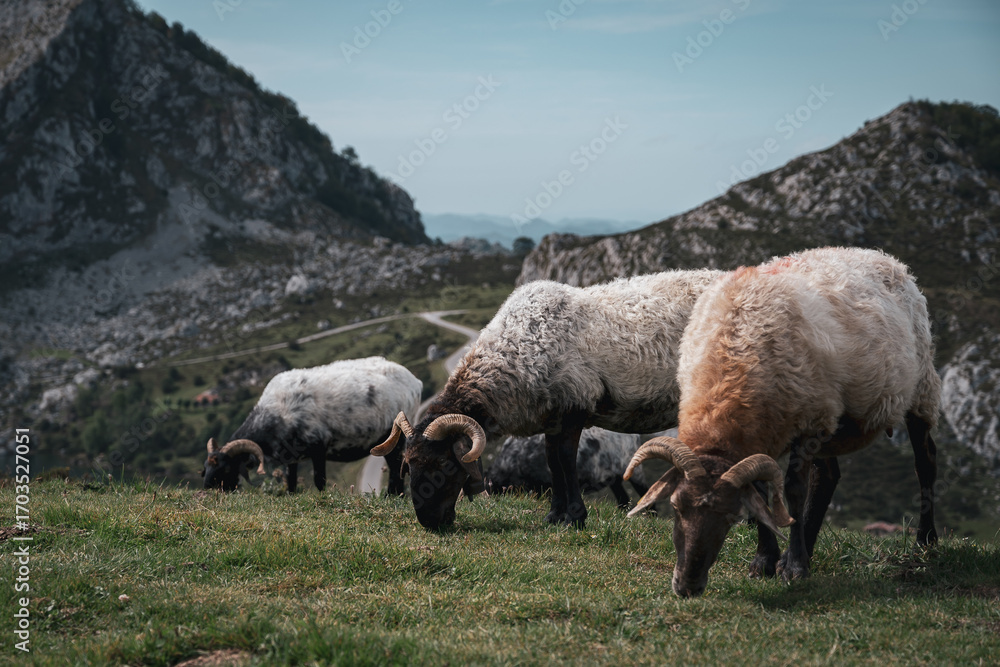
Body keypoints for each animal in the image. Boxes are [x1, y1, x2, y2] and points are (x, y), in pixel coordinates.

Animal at [202, 356, 421, 494]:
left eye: (227, 469)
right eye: (205, 468)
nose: (207, 491)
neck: (279, 412)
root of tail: (415, 381)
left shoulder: (319, 446)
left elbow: (319, 480)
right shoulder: (290, 457)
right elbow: (290, 482)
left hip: (396, 436)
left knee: (396, 466)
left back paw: (394, 495)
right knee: (394, 466)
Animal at [623, 247, 941, 597]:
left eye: (731, 516)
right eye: (677, 506)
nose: (688, 586)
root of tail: (884, 257)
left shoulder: (808, 423)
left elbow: (792, 491)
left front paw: (795, 568)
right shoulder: (769, 433)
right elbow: (762, 494)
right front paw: (765, 561)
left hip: (918, 390)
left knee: (925, 461)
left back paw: (925, 542)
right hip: (830, 416)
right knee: (827, 476)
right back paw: (805, 548)